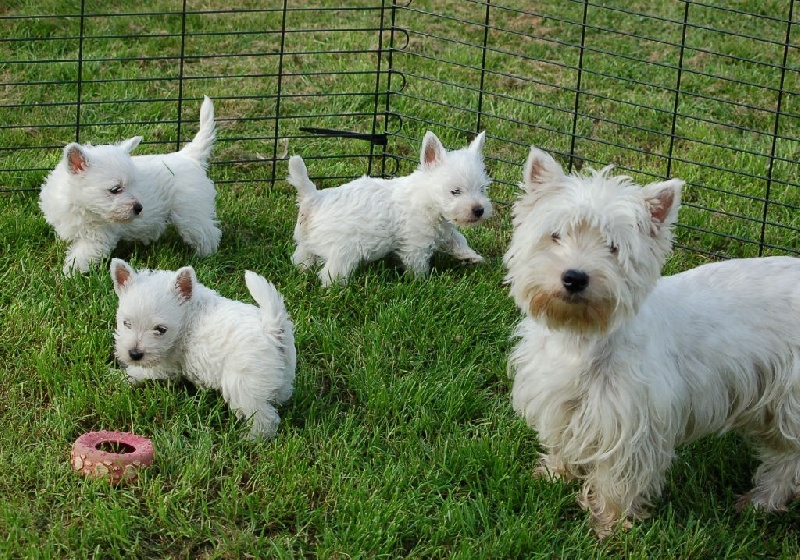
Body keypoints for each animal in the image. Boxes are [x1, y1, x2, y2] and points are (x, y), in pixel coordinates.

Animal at [39, 96, 222, 276]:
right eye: (116, 189)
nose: (139, 208)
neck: (80, 205)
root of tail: (188, 157)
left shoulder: (97, 238)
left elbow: (80, 258)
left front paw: (68, 275)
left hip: (191, 213)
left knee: (208, 235)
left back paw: (204, 258)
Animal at [110, 260, 296, 442]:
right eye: (126, 323)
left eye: (161, 329)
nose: (134, 354)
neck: (187, 317)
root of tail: (272, 329)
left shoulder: (165, 364)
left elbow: (138, 372)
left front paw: (117, 377)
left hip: (242, 384)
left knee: (264, 418)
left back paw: (249, 439)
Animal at [284, 131, 490, 286]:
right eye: (455, 191)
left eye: (482, 189)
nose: (479, 210)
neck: (426, 199)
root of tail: (314, 197)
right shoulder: (416, 243)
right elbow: (418, 265)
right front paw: (422, 283)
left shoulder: (444, 230)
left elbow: (457, 239)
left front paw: (470, 256)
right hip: (344, 250)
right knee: (330, 273)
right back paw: (335, 289)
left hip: (308, 240)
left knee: (302, 256)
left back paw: (301, 269)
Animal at [506, 145, 800, 540]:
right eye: (556, 235)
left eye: (613, 247)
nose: (574, 277)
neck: (583, 339)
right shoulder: (561, 400)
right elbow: (563, 440)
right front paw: (554, 473)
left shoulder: (633, 423)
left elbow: (618, 478)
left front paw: (611, 525)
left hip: (788, 400)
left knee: (788, 458)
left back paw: (760, 501)